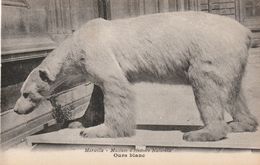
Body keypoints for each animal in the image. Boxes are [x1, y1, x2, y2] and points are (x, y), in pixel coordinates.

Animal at [14, 11, 258, 141]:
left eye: (26, 93)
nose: (16, 109)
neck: (76, 43)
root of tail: (245, 32)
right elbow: (97, 94)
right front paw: (77, 122)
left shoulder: (96, 53)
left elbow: (115, 87)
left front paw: (99, 131)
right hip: (230, 58)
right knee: (233, 91)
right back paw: (240, 124)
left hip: (209, 51)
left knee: (206, 86)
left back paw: (201, 133)